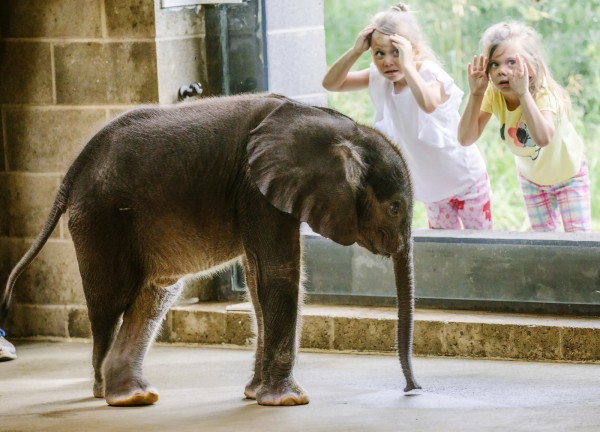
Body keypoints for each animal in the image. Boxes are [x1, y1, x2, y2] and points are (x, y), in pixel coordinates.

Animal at [0, 93, 420, 406]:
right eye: (396, 207)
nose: (412, 389)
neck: (341, 126)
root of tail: (70, 173)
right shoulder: (254, 187)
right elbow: (278, 272)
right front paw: (287, 401)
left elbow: (257, 279)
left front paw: (255, 394)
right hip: (102, 219)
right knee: (111, 302)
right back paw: (106, 392)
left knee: (155, 295)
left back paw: (133, 396)